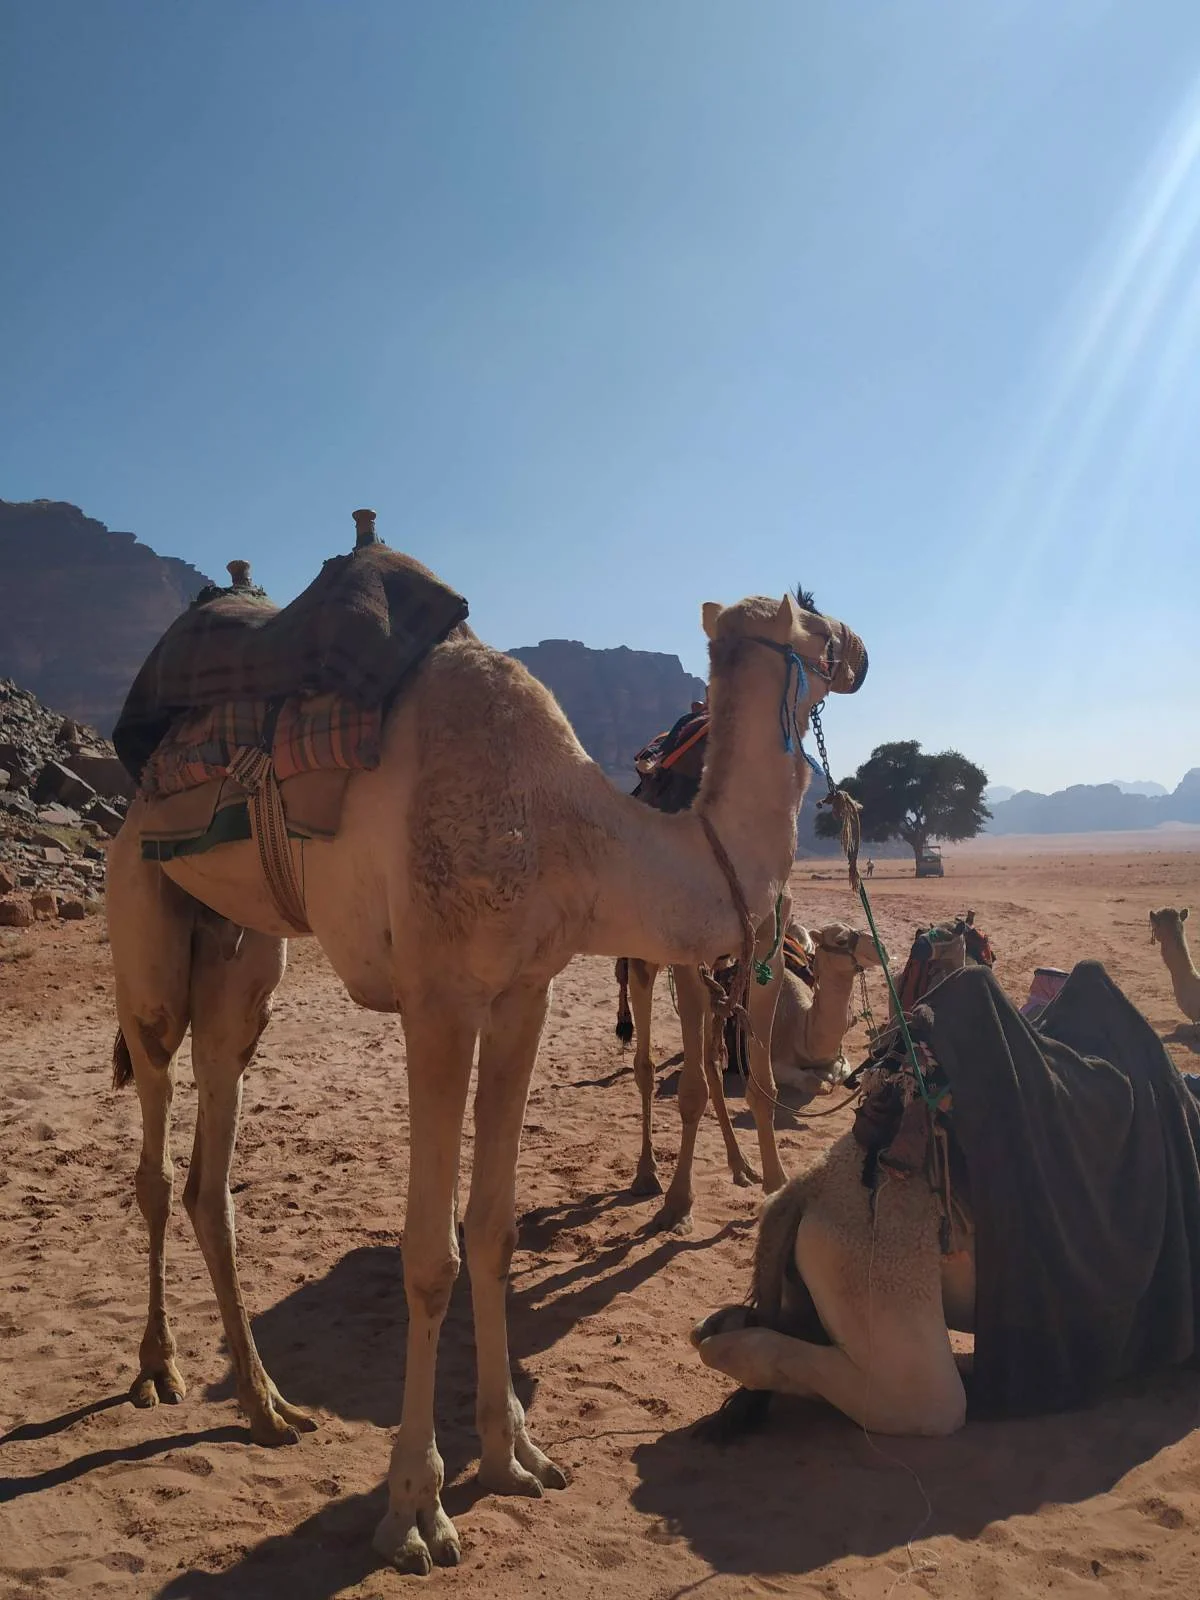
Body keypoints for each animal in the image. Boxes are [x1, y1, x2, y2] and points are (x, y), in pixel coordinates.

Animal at [106, 582, 867, 1574]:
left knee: (212, 1167)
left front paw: (514, 1456)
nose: (859, 650)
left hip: (240, 948)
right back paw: (159, 1369)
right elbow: (431, 1257)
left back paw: (265, 1405)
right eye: (810, 621)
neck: (570, 831)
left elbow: (496, 1233)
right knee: (157, 1139)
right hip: (145, 920)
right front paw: (415, 1509)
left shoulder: (522, 994)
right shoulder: (438, 999)